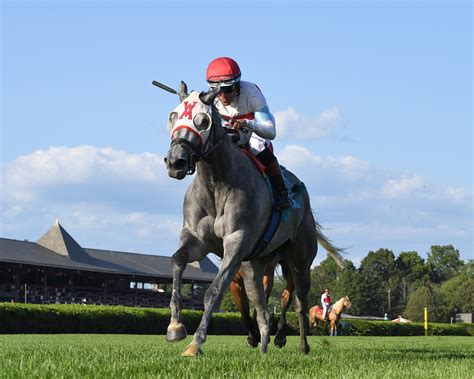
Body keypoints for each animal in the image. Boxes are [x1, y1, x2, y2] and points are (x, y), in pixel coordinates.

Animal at [163, 81, 340, 358]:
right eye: (173, 116)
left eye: (202, 120)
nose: (175, 162)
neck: (216, 184)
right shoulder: (197, 241)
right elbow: (177, 260)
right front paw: (175, 327)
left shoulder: (236, 243)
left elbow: (213, 292)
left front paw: (195, 344)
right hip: (255, 265)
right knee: (263, 310)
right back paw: (265, 346)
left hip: (299, 261)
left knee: (298, 302)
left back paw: (299, 345)